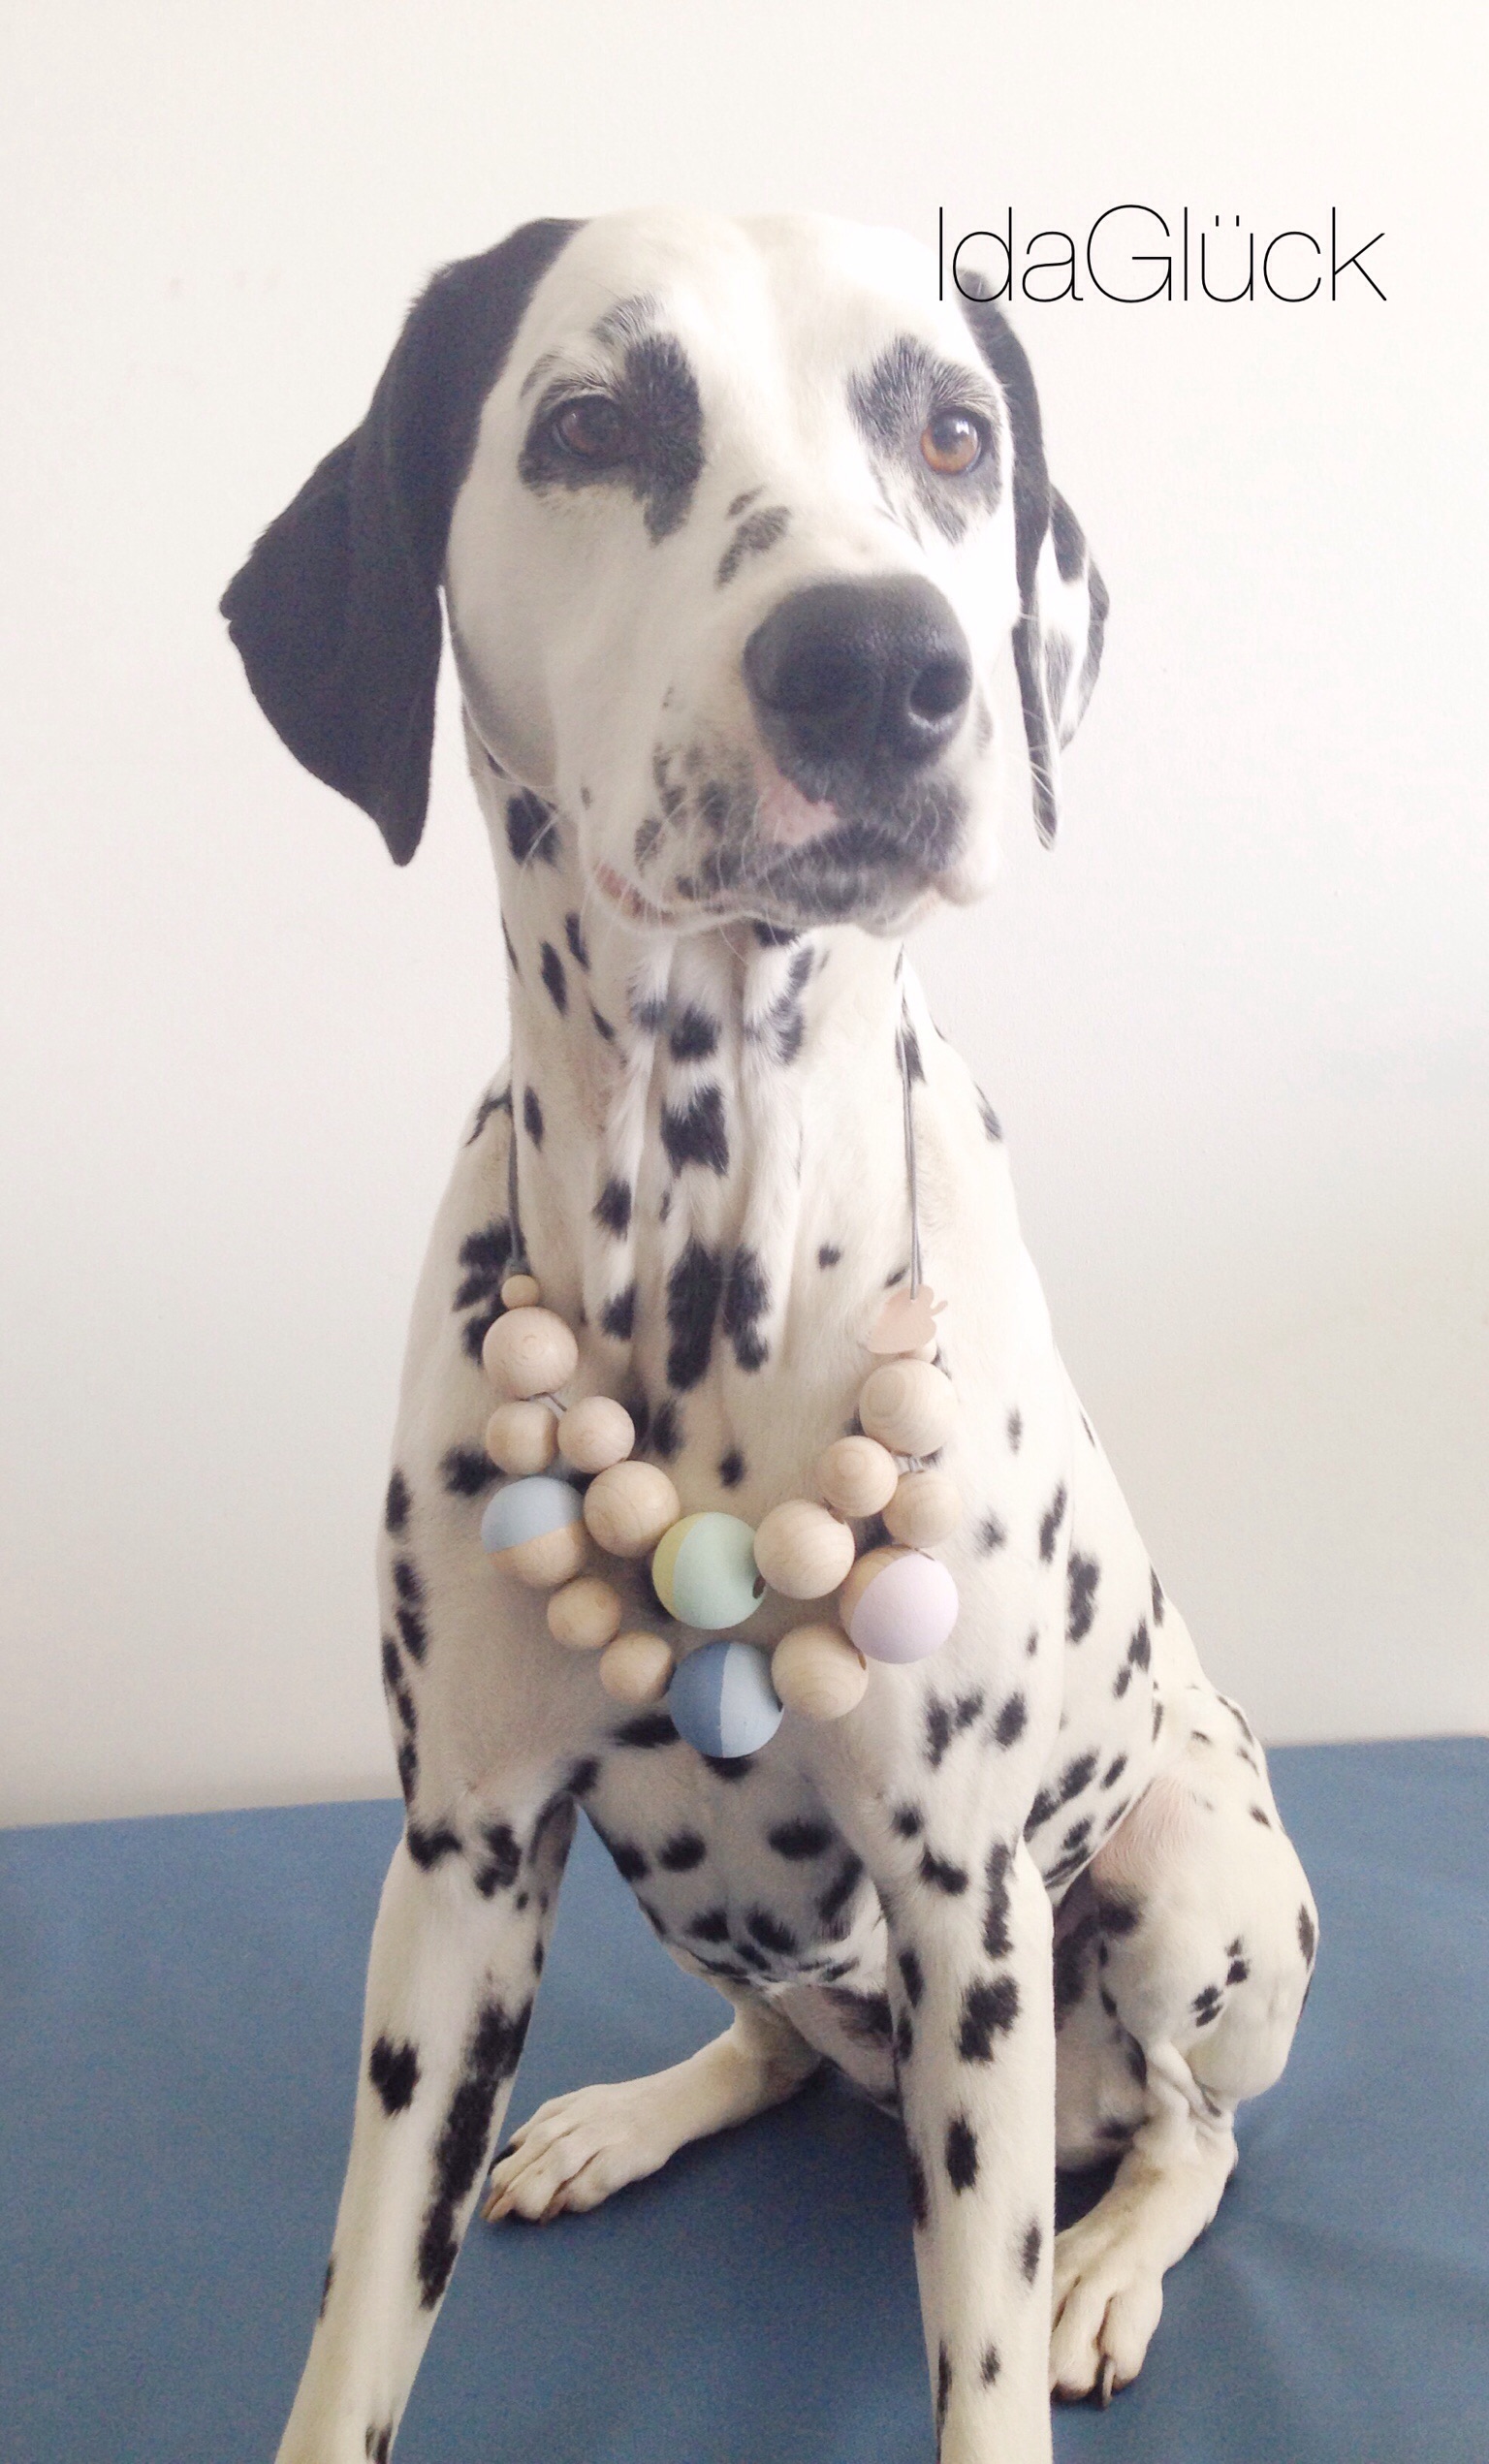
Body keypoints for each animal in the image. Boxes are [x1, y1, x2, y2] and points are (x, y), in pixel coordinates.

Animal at [222, 209, 1319, 2464]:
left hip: (1176, 1873)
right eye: (590, 422)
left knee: (1192, 2136)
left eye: (955, 428)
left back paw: (1111, 2259)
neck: (712, 1252)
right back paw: (636, 2113)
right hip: (683, 1891)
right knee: (787, 2046)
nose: (881, 665)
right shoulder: (458, 1870)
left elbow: (978, 2370)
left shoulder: (971, 1903)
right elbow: (364, 2317)